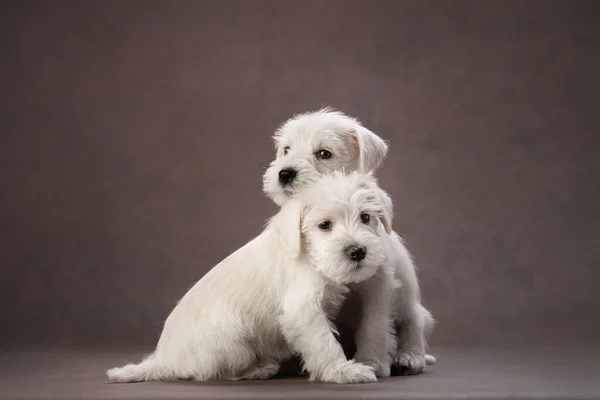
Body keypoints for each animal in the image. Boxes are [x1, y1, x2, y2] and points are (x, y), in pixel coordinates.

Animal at [106, 172, 398, 384]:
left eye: (365, 217)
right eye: (324, 225)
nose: (358, 251)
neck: (308, 255)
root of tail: (163, 360)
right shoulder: (303, 311)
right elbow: (325, 343)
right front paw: (344, 372)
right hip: (233, 337)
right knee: (214, 372)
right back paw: (258, 370)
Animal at [262, 107, 436, 376]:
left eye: (324, 153)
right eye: (286, 150)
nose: (284, 173)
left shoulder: (378, 285)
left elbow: (374, 325)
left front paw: (372, 361)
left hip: (409, 302)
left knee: (414, 324)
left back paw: (409, 357)